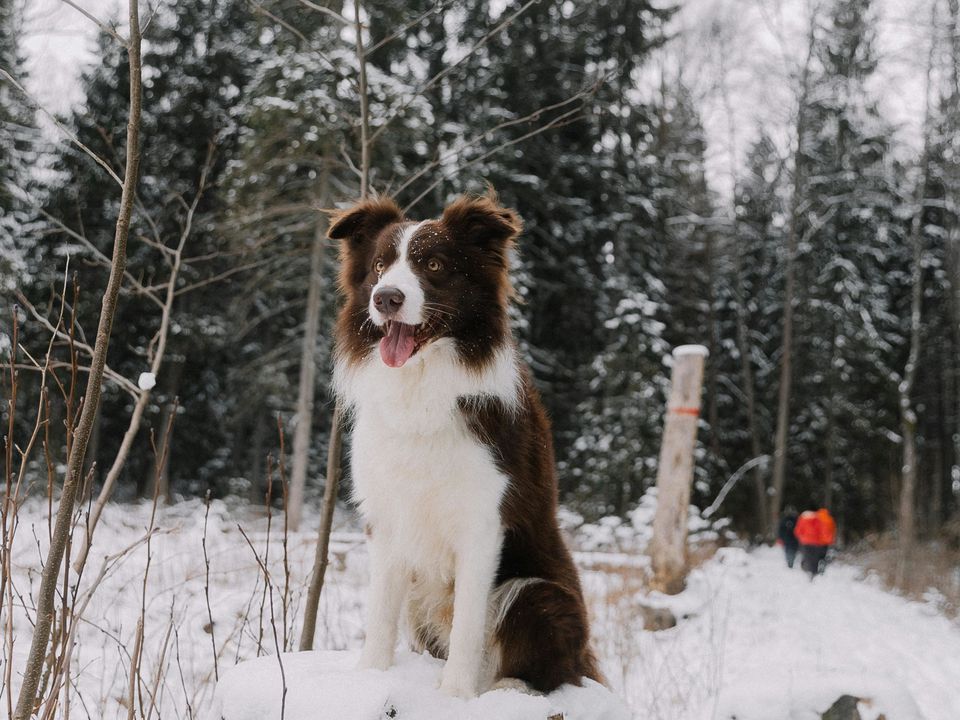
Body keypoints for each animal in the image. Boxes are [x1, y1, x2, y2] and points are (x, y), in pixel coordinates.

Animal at [330, 191, 600, 696]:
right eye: (379, 266)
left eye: (434, 264)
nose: (386, 298)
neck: (421, 384)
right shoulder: (387, 517)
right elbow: (380, 613)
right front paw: (370, 676)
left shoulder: (482, 523)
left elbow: (468, 626)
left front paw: (455, 694)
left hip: (540, 594)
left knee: (553, 669)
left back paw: (507, 687)